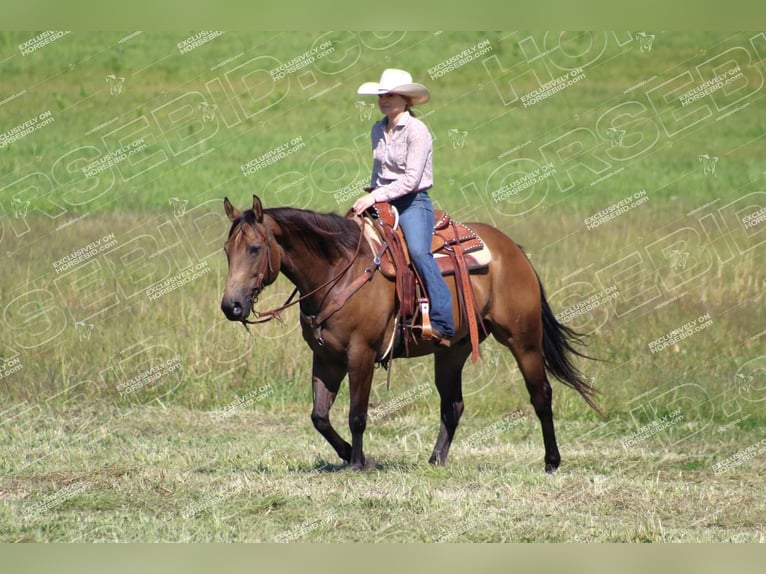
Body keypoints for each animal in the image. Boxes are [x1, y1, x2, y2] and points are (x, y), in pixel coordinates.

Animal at [219, 196, 596, 474]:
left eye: (254, 249)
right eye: (226, 250)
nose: (231, 306)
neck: (338, 272)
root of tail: (514, 251)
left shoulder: (361, 353)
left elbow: (357, 414)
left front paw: (358, 463)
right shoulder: (325, 358)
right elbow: (320, 417)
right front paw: (349, 455)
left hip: (523, 339)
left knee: (541, 395)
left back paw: (551, 461)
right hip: (452, 350)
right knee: (453, 405)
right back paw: (435, 460)